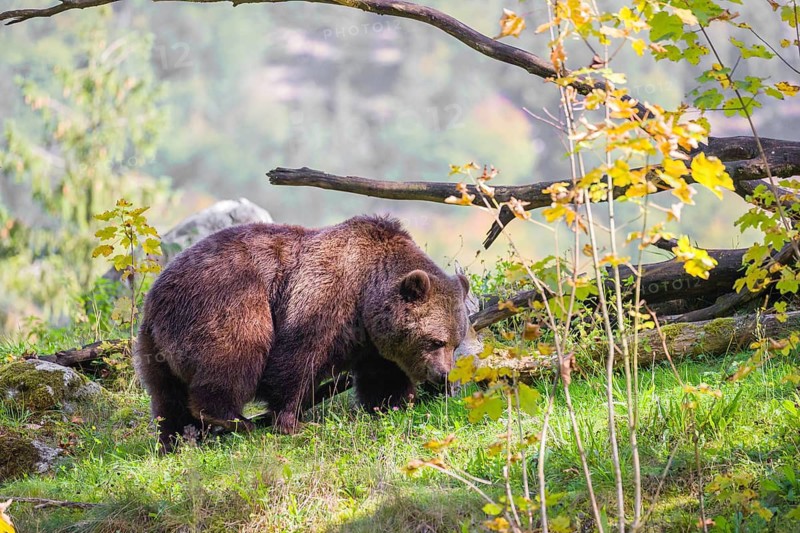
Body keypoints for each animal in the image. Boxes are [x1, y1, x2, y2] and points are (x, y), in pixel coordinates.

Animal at [134, 215, 471, 452]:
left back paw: (175, 439)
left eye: (456, 343)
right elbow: (296, 358)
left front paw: (393, 404)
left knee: (166, 395)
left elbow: (383, 377)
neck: (367, 294)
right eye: (436, 341)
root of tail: (154, 299)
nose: (444, 375)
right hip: (227, 301)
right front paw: (292, 422)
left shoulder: (374, 343)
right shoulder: (324, 295)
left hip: (153, 347)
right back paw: (233, 420)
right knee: (236, 356)